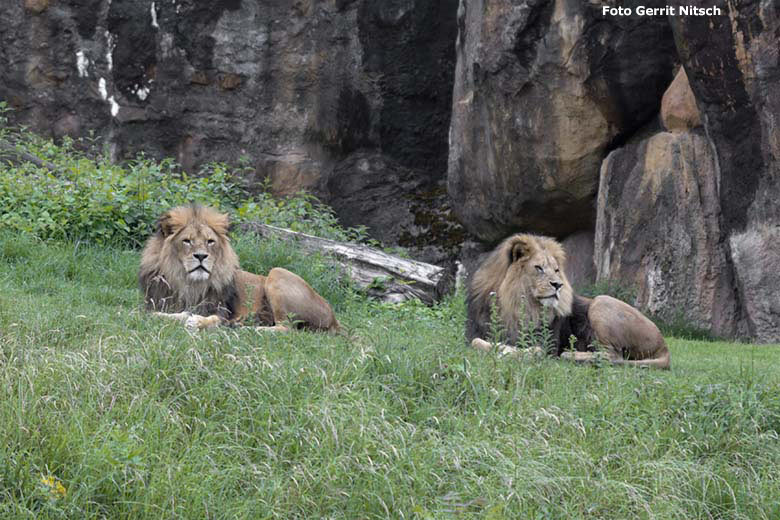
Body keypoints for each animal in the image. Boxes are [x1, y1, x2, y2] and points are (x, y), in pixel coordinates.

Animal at [139, 204, 338, 334]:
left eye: (210, 241)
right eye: (187, 241)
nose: (201, 256)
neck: (190, 283)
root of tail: (333, 317)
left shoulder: (223, 312)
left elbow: (212, 319)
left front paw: (197, 322)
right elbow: (159, 314)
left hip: (277, 272)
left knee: (286, 329)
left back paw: (248, 328)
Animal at [464, 234, 672, 368]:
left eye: (556, 270)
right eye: (539, 268)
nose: (558, 285)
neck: (515, 306)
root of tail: (664, 345)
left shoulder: (547, 344)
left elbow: (534, 351)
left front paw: (505, 350)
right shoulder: (474, 333)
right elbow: (475, 341)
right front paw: (499, 347)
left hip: (601, 302)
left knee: (613, 356)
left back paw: (572, 355)